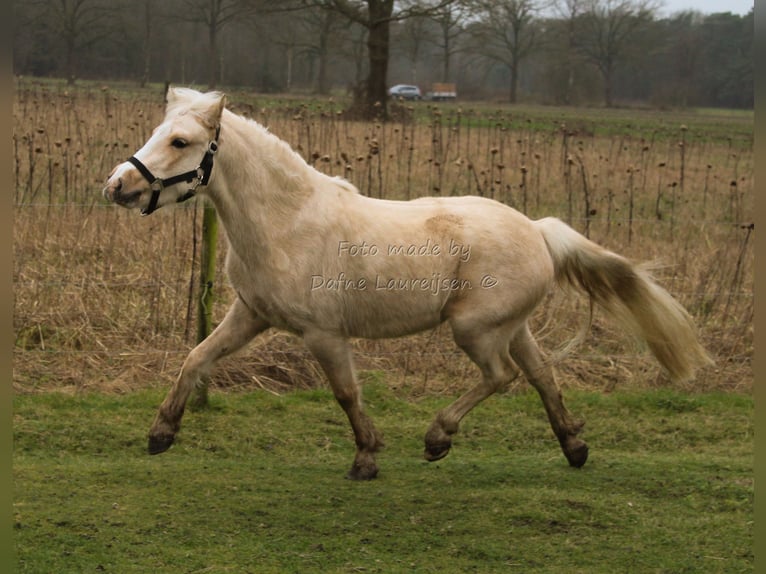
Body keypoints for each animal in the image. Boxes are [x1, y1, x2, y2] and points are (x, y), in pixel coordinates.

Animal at [102, 88, 712, 480]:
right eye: (158, 133)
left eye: (181, 141)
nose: (117, 186)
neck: (286, 220)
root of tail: (538, 230)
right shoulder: (249, 315)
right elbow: (196, 359)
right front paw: (161, 434)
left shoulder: (323, 334)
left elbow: (346, 393)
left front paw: (367, 459)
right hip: (512, 327)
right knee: (541, 376)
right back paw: (575, 446)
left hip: (475, 329)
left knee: (503, 377)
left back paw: (438, 438)